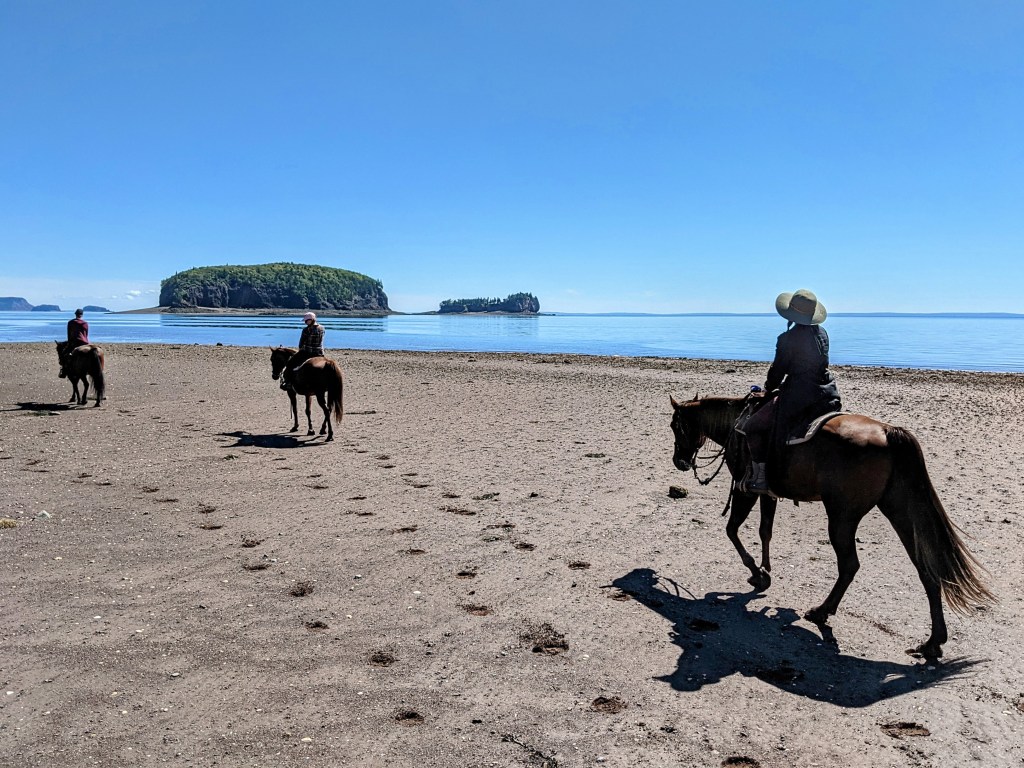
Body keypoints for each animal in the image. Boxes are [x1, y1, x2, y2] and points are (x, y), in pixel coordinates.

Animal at [669, 393, 993, 660]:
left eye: (675, 426)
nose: (679, 461)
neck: (738, 423)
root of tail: (888, 432)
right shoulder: (767, 493)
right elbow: (765, 531)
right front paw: (764, 572)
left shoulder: (745, 489)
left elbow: (732, 530)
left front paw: (756, 572)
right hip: (899, 511)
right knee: (925, 567)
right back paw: (932, 642)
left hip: (842, 516)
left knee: (849, 565)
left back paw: (821, 611)